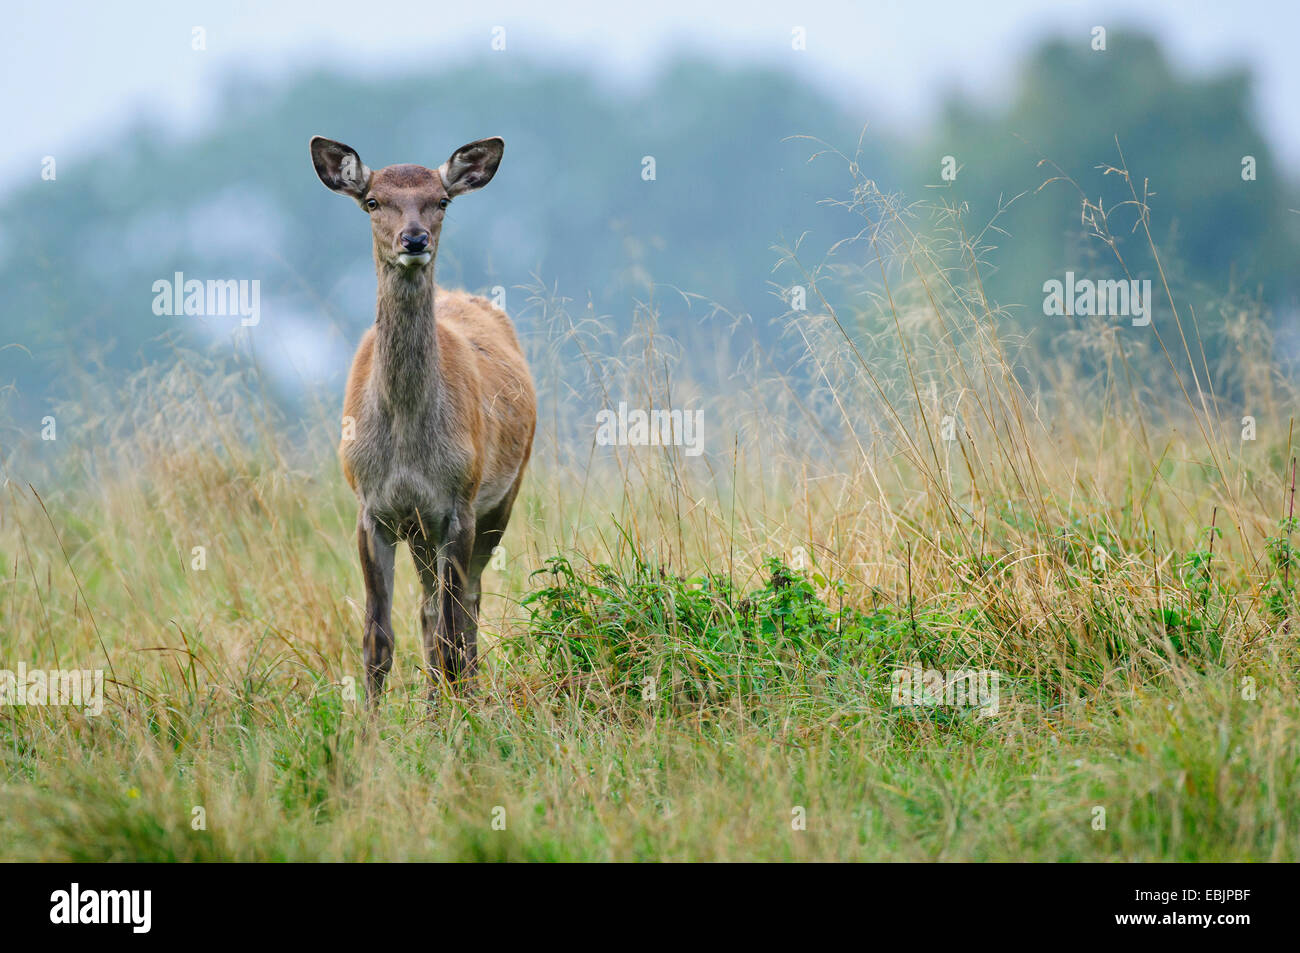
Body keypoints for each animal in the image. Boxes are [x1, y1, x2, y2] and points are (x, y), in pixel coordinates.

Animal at [312, 133, 535, 707]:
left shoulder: (459, 502)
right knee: (429, 613)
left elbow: (453, 629)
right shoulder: (374, 509)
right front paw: (370, 725)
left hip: (502, 496)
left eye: (442, 201)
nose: (414, 239)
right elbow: (378, 639)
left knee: (465, 610)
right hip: (418, 530)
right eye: (372, 202)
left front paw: (461, 719)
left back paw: (462, 698)